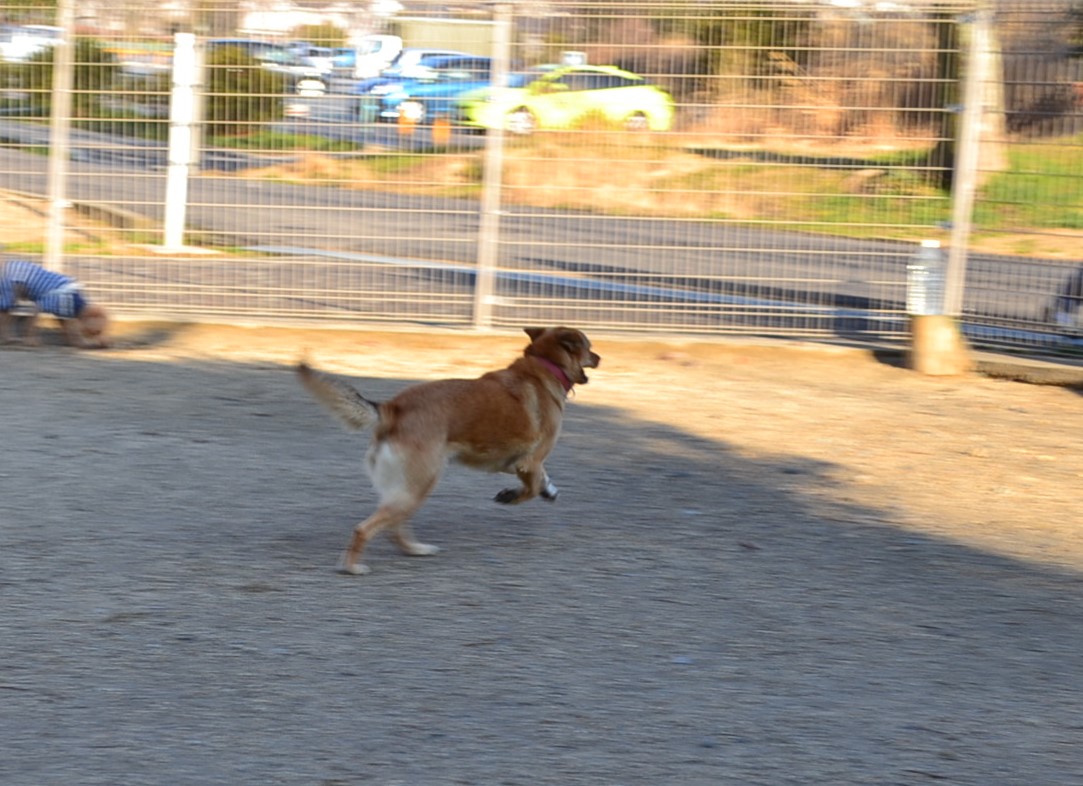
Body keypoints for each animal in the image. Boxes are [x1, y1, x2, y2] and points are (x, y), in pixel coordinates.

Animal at [296, 326, 602, 580]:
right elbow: (530, 489)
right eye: (589, 347)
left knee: (394, 526)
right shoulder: (529, 462)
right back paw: (353, 567)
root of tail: (393, 408)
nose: (599, 357)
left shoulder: (520, 464)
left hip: (407, 489)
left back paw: (414, 549)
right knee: (367, 528)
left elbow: (541, 481)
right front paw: (513, 496)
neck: (543, 366)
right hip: (420, 485)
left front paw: (549, 490)